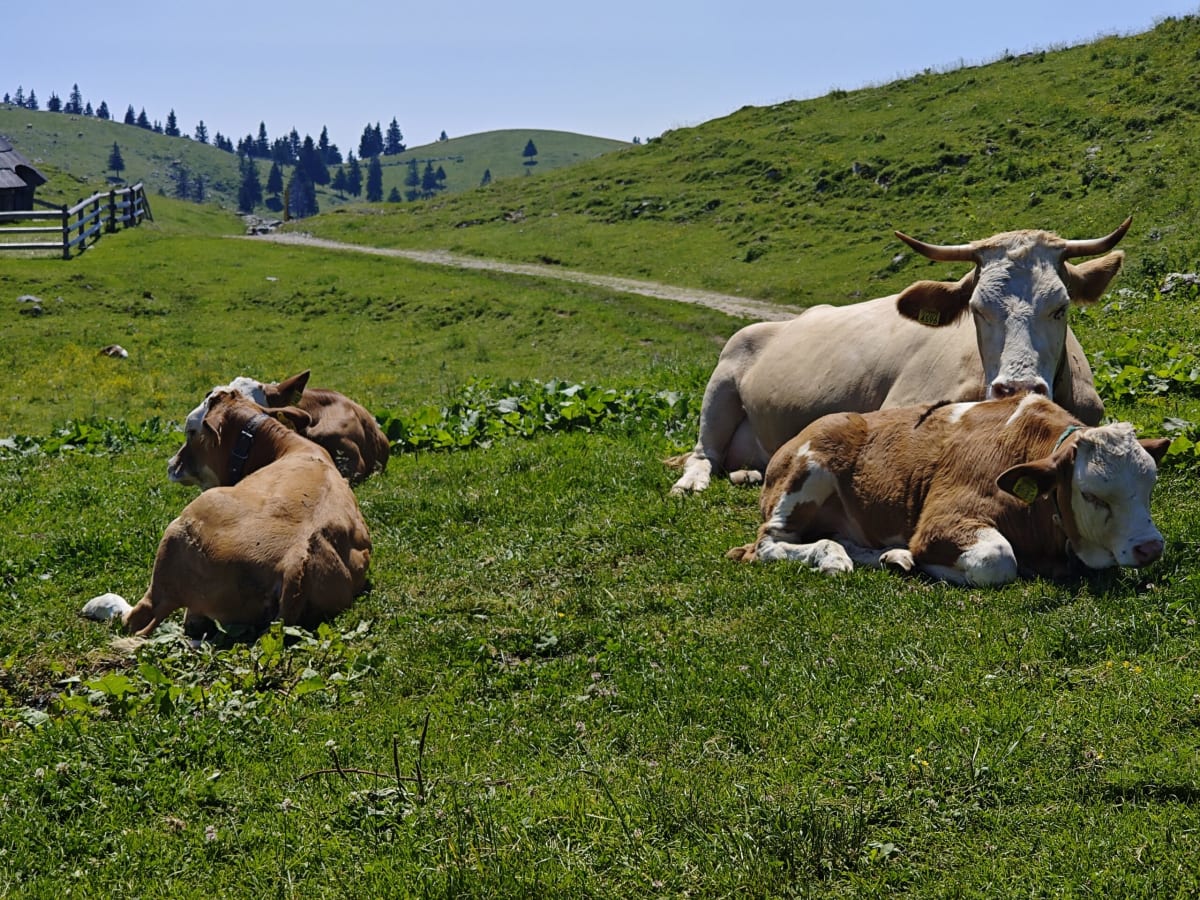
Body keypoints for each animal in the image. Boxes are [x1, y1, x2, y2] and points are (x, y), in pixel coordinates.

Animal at [82, 390, 372, 637]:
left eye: (190, 431)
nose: (171, 464)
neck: (289, 447)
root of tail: (295, 558)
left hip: (175, 535)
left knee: (137, 615)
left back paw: (99, 603)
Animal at [669, 218, 1132, 494]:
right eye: (977, 309)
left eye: (1060, 307)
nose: (1016, 387)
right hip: (721, 381)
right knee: (703, 454)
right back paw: (693, 483)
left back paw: (749, 472)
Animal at [726, 393, 1169, 586]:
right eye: (1091, 495)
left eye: (1150, 485)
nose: (1150, 548)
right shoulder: (942, 520)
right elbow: (996, 559)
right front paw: (929, 563)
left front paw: (906, 557)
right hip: (809, 469)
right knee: (766, 544)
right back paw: (832, 557)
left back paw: (891, 556)